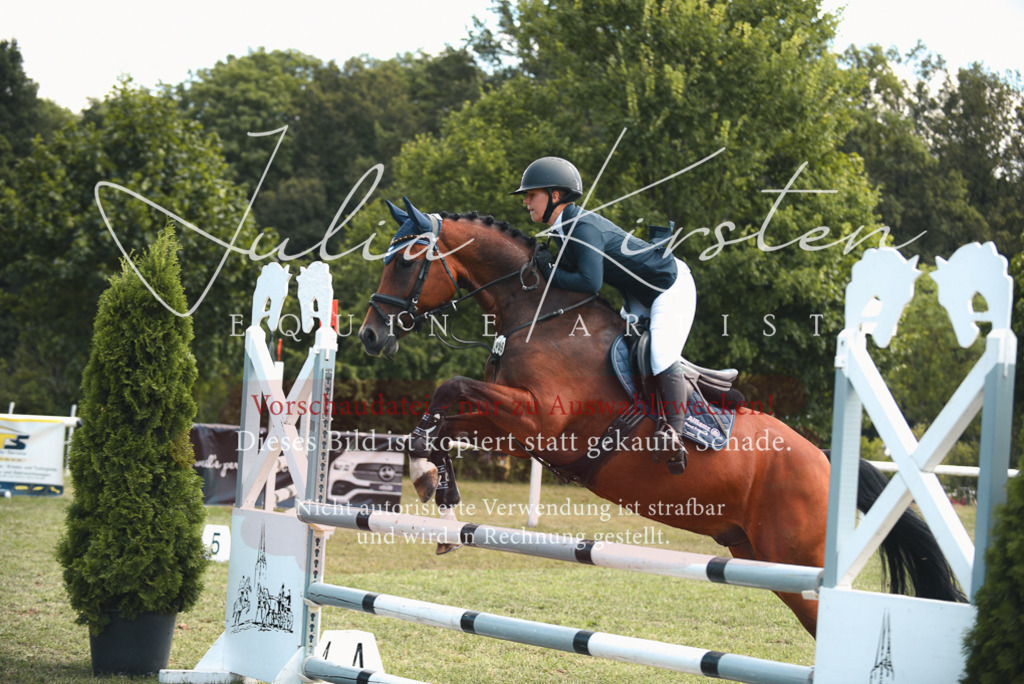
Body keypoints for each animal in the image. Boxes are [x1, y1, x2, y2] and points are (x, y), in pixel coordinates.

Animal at [357, 197, 964, 636]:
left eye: (405, 261)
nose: (369, 336)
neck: (541, 312)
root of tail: (824, 459)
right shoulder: (517, 427)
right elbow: (446, 413)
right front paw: (435, 487)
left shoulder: (537, 421)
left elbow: (451, 387)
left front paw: (425, 475)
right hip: (761, 558)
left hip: (793, 558)